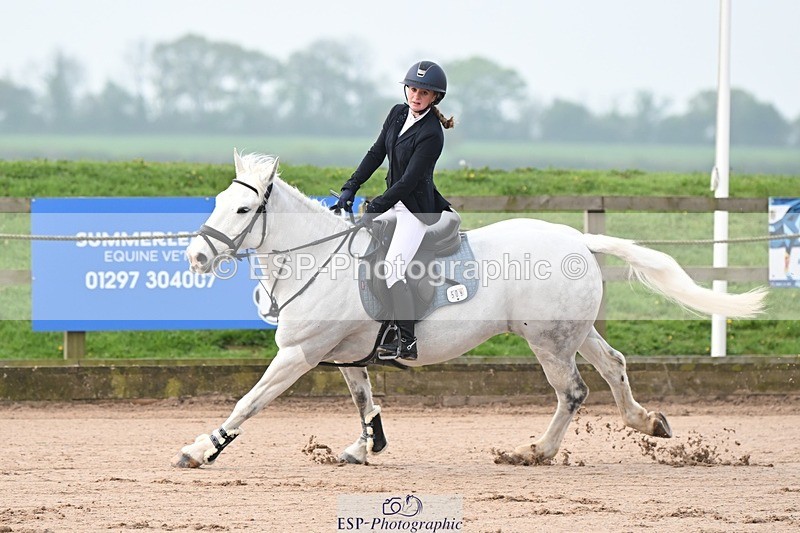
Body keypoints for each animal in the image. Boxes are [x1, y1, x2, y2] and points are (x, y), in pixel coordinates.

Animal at [172, 150, 766, 468]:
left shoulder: (299, 353)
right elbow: (363, 398)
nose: (198, 256)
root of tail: (579, 238)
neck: (320, 258)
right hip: (572, 332)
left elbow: (249, 402)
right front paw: (365, 447)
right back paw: (648, 421)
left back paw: (534, 452)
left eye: (244, 208)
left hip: (548, 341)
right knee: (614, 365)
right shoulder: (341, 353)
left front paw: (201, 449)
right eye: (219, 202)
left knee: (572, 392)